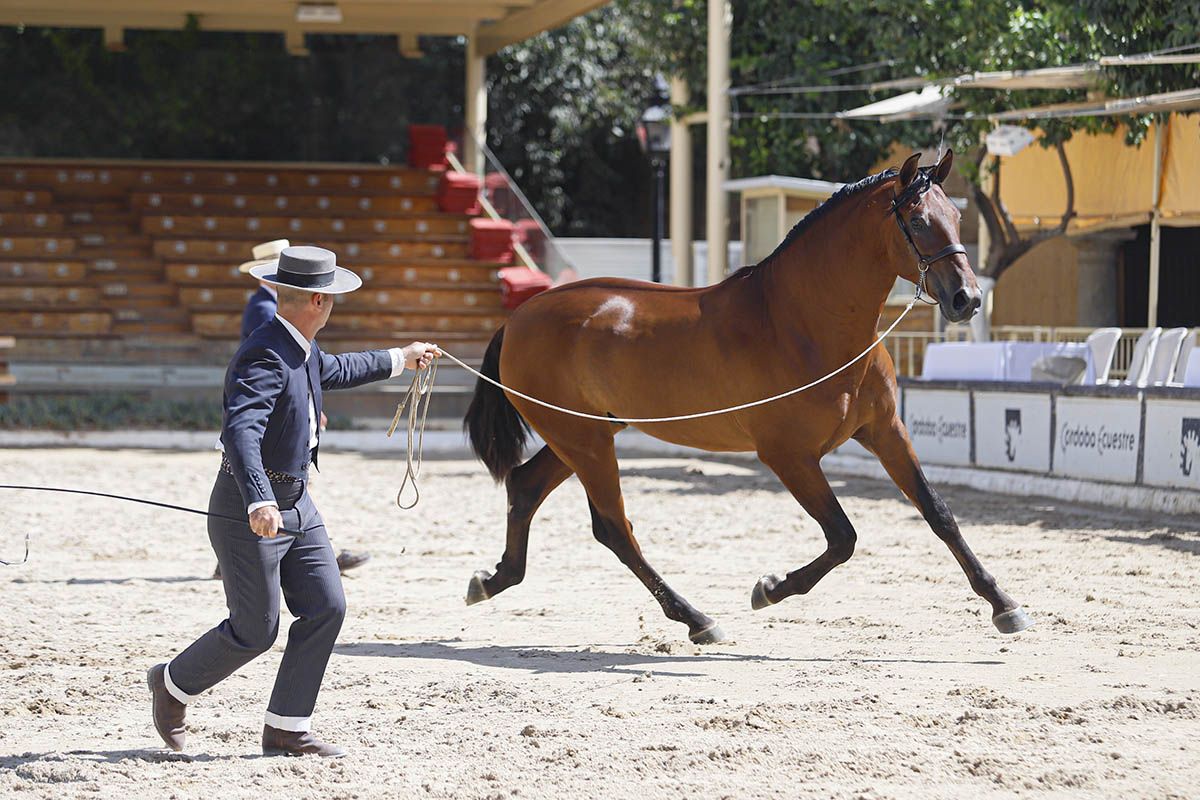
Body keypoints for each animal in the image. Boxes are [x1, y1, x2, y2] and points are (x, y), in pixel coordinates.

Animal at [458, 151, 1032, 642]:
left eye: (955, 216)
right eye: (915, 221)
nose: (966, 300)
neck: (805, 323)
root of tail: (520, 316)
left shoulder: (885, 431)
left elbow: (938, 513)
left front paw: (1004, 605)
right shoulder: (788, 456)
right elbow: (842, 535)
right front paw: (771, 589)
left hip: (584, 434)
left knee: (526, 487)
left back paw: (492, 580)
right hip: (586, 443)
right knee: (613, 527)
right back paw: (696, 619)